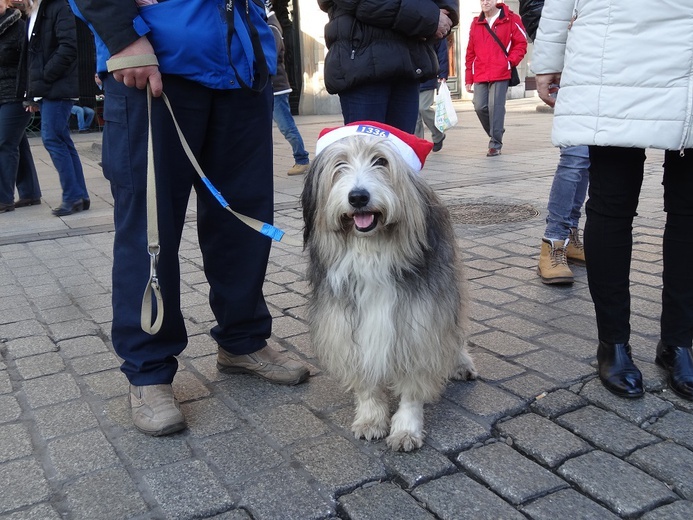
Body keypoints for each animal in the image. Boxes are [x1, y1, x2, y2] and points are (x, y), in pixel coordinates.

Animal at [302, 126, 476, 450]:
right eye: (339, 164)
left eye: (380, 161)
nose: (358, 197)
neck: (373, 253)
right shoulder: (348, 328)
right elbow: (367, 384)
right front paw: (371, 418)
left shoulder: (420, 325)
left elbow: (413, 388)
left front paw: (406, 428)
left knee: (455, 336)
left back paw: (461, 363)